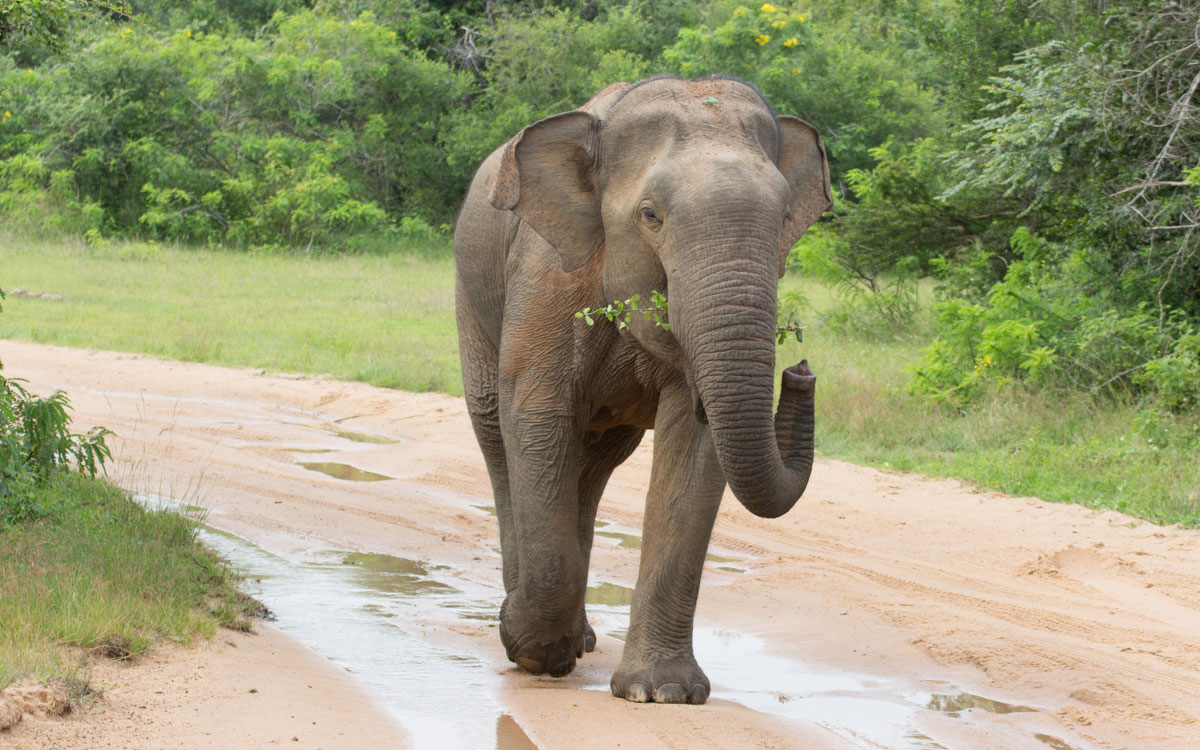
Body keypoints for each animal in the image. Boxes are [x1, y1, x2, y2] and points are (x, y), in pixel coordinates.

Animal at [453, 75, 831, 704]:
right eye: (650, 215)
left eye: (785, 218)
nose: (800, 370)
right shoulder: (548, 273)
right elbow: (536, 413)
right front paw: (534, 652)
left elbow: (697, 446)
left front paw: (662, 694)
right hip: (472, 298)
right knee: (496, 436)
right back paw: (538, 632)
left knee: (594, 463)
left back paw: (579, 638)